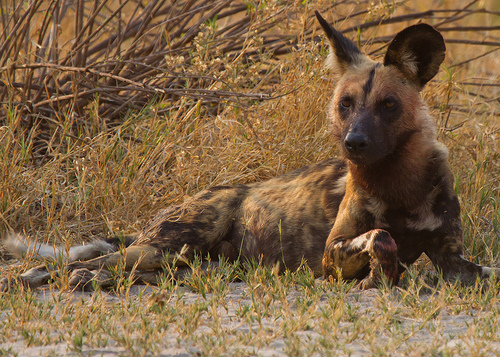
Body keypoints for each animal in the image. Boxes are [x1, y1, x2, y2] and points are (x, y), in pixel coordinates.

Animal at [0, 11, 500, 292]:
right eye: (345, 104)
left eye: (389, 105)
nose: (353, 142)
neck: (401, 185)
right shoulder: (332, 255)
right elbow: (381, 238)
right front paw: (384, 276)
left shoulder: (454, 261)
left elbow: (473, 270)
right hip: (166, 246)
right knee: (90, 262)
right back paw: (39, 279)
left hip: (180, 262)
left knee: (118, 269)